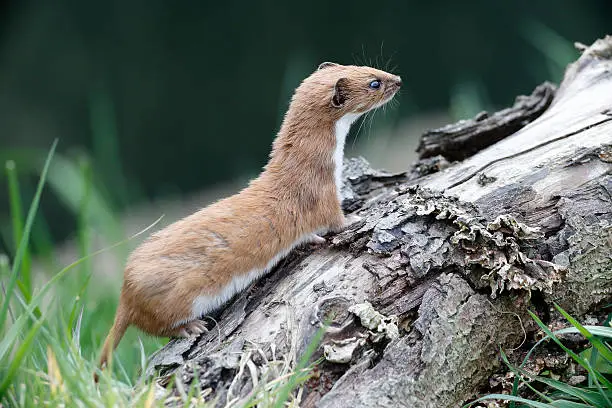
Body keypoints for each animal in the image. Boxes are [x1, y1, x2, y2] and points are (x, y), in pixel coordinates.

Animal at [100, 62, 402, 372]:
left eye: (365, 66)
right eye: (374, 82)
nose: (399, 80)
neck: (328, 166)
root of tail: (126, 288)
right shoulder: (322, 196)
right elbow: (336, 221)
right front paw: (356, 219)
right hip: (173, 298)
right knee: (154, 325)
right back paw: (191, 327)